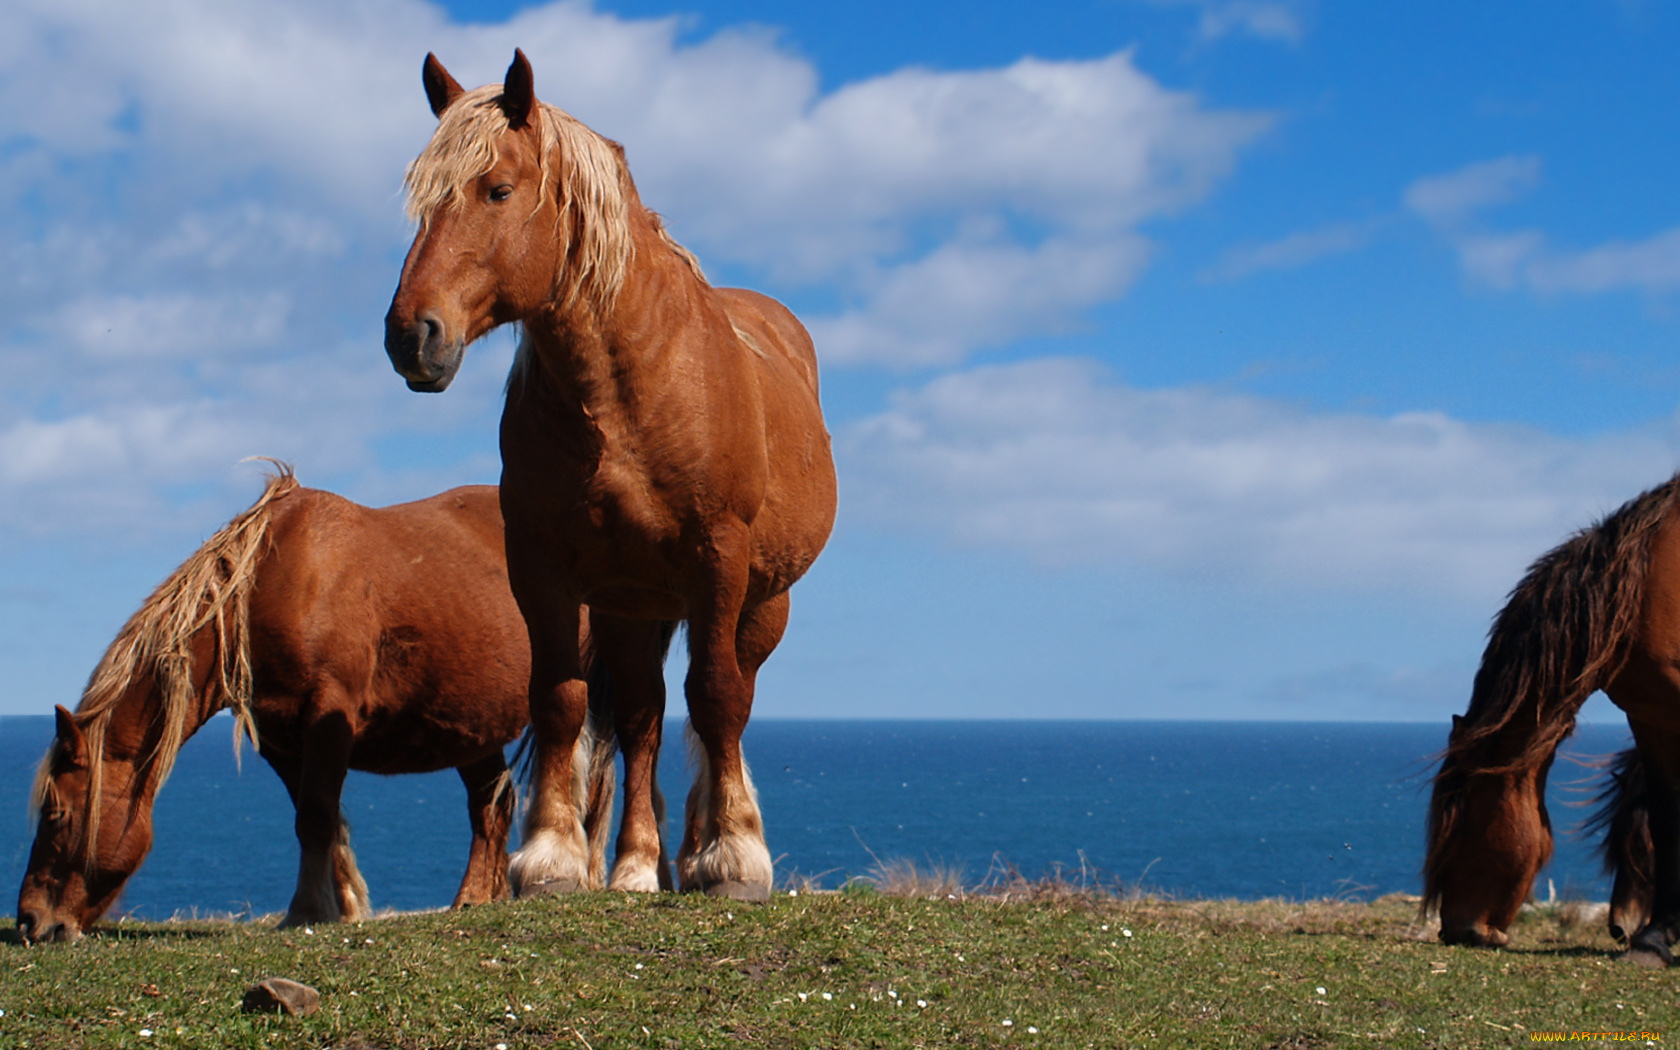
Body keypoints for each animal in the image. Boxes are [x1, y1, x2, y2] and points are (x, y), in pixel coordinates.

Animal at [19, 470, 648, 947]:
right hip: (471, 725)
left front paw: (305, 911)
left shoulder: (329, 717)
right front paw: (338, 905)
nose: (31, 922)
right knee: (490, 807)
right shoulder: (281, 740)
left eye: (57, 814)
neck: (275, 582)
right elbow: (318, 818)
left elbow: (318, 817)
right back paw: (473, 899)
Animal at [384, 51, 836, 900]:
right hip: (635, 607)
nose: (410, 336)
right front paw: (553, 857)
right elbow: (562, 699)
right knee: (642, 719)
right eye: (421, 202)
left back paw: (705, 844)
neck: (627, 392)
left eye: (497, 190)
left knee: (726, 696)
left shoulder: (718, 559)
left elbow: (717, 696)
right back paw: (635, 864)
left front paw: (732, 856)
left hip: (759, 602)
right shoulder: (544, 568)